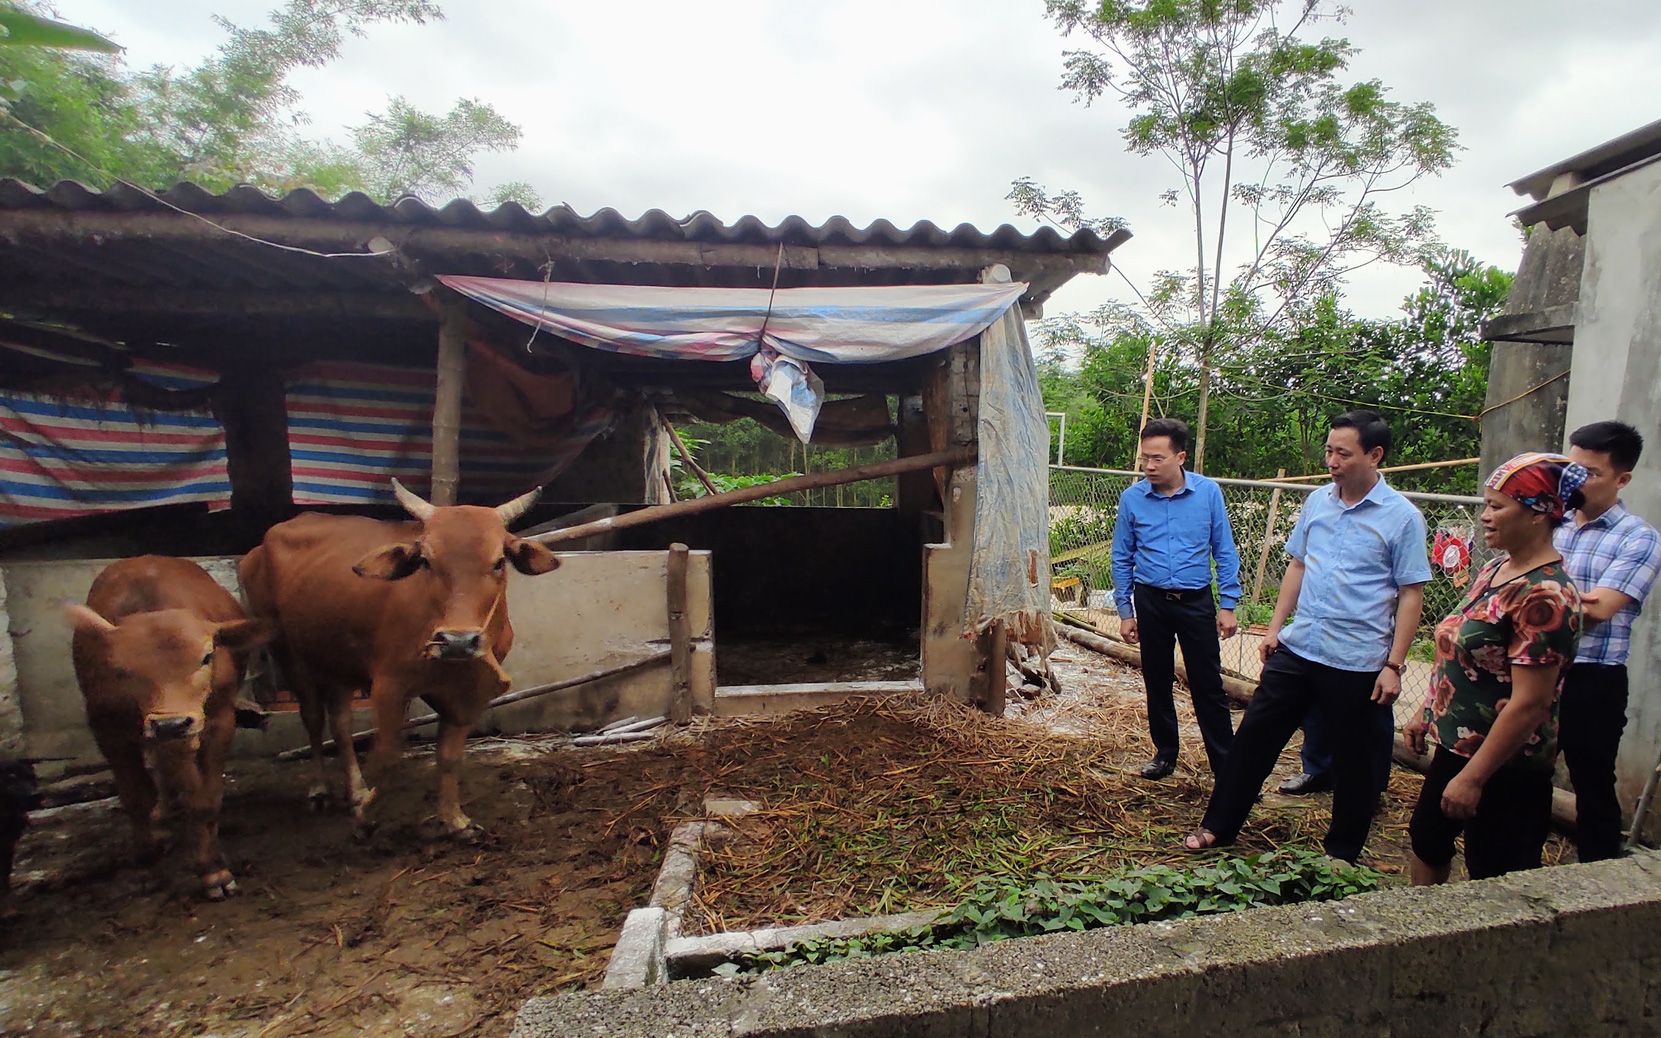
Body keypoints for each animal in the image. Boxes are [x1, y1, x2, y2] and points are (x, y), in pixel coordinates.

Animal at [66, 551, 274, 896]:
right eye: (121, 669)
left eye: (207, 657)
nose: (171, 723)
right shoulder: (106, 726)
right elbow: (136, 795)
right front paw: (146, 856)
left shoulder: (217, 720)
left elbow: (204, 799)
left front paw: (214, 870)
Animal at [237, 478, 558, 833]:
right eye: (427, 561)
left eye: (499, 561)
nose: (458, 641)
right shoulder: (389, 686)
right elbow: (389, 757)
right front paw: (367, 815)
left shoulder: (469, 692)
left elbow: (449, 756)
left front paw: (453, 818)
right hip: (289, 654)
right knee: (313, 718)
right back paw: (320, 789)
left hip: (339, 660)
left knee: (341, 723)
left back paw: (356, 789)